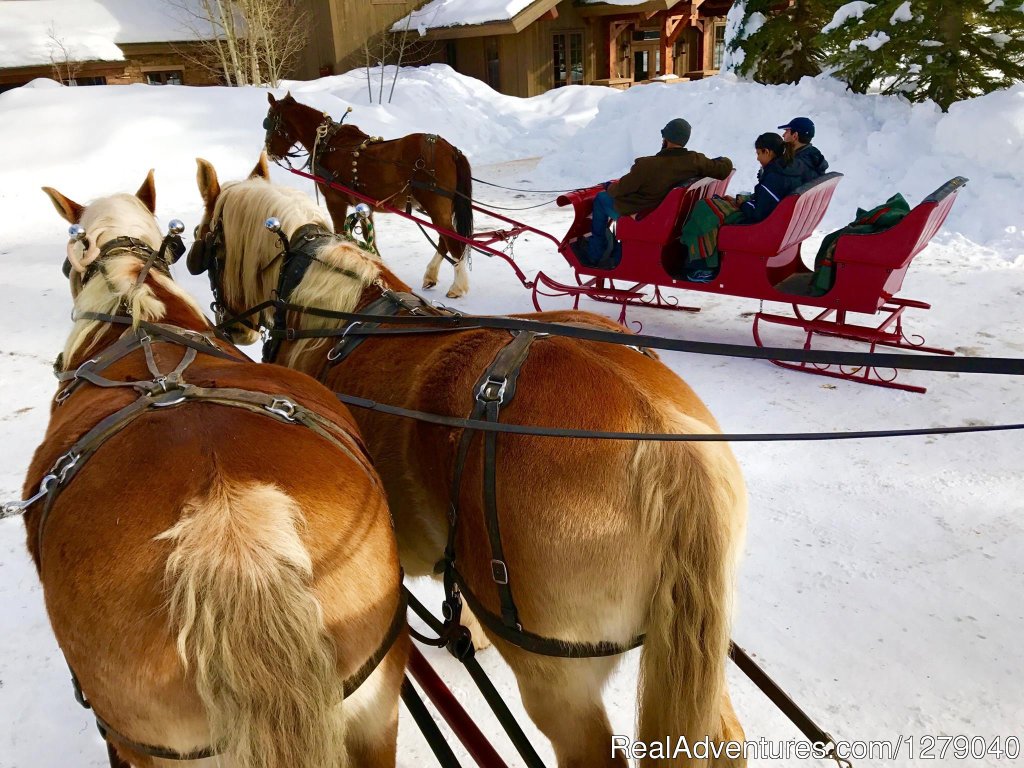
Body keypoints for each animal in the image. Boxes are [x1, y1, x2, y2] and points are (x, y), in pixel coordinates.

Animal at [195, 157, 749, 768]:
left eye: (208, 242)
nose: (226, 324)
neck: (328, 311)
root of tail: (667, 449)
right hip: (685, 640)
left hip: (556, 674)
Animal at [262, 92, 473, 301]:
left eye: (269, 121)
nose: (269, 152)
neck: (329, 143)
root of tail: (451, 150)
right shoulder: (364, 205)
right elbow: (369, 238)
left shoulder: (334, 201)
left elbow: (341, 233)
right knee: (444, 239)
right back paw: (431, 275)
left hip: (435, 203)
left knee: (453, 241)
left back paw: (457, 286)